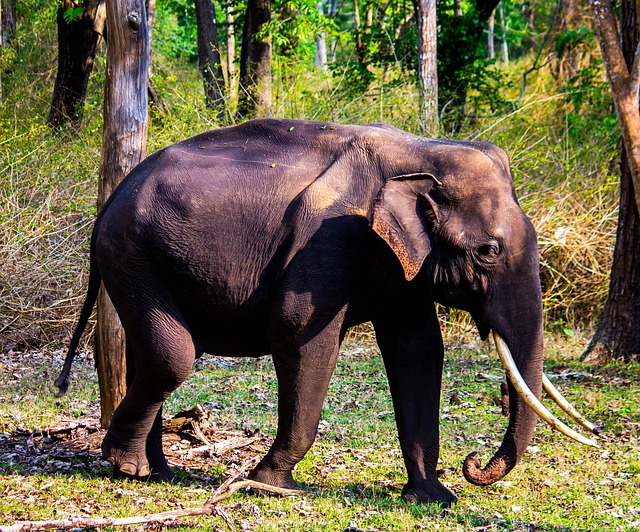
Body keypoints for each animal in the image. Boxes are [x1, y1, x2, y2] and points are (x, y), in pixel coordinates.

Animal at [56, 118, 600, 504]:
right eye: (488, 251)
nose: (474, 464)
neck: (422, 149)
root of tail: (109, 200)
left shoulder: (397, 258)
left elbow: (417, 346)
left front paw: (432, 498)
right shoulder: (330, 238)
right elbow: (299, 332)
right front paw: (272, 484)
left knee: (152, 353)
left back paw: (156, 474)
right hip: (131, 254)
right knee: (173, 355)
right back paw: (126, 466)